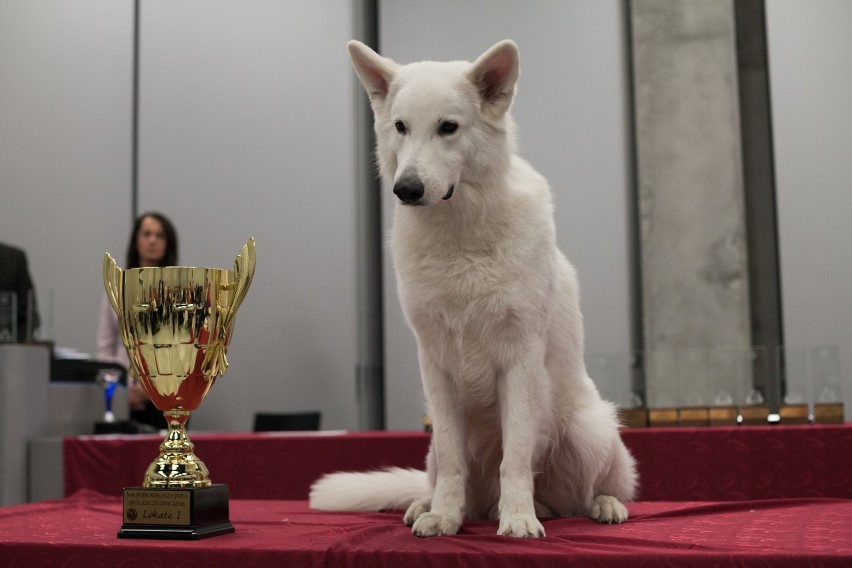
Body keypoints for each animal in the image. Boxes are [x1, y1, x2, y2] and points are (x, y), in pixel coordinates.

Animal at [310, 38, 636, 536]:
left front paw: (518, 521)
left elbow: (515, 458)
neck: (459, 236)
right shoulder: (437, 371)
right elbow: (452, 460)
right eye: (401, 127)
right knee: (451, 479)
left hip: (591, 432)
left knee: (592, 491)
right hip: (431, 451)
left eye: (448, 128)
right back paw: (428, 506)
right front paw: (444, 517)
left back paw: (596, 506)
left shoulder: (519, 362)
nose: (406, 189)